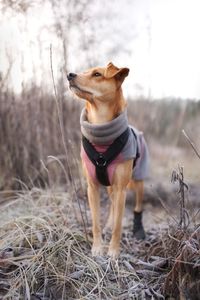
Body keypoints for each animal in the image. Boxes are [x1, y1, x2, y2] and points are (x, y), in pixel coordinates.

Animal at [67, 62, 148, 258]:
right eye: (84, 71)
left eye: (97, 74)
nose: (69, 75)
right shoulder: (92, 187)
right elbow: (96, 222)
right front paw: (97, 248)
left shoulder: (121, 189)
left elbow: (119, 225)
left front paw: (113, 252)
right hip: (112, 187)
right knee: (112, 206)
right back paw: (108, 225)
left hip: (138, 181)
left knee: (137, 206)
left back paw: (138, 231)